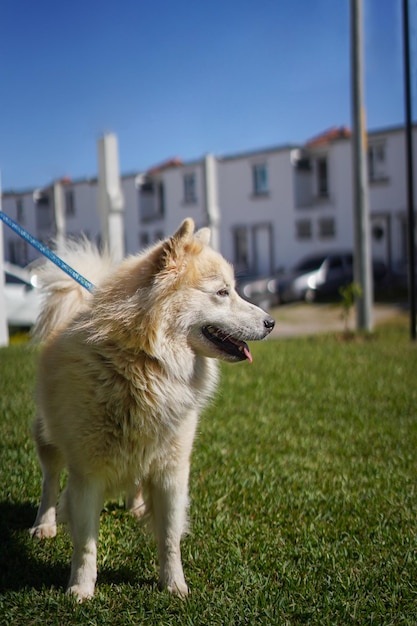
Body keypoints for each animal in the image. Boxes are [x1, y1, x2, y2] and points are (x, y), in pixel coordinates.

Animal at [30, 217, 276, 596]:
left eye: (233, 290)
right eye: (223, 292)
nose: (271, 322)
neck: (145, 365)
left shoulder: (172, 472)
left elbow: (170, 537)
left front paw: (174, 585)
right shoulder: (88, 474)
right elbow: (86, 543)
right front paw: (81, 588)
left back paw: (135, 505)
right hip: (49, 438)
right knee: (50, 478)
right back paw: (45, 523)